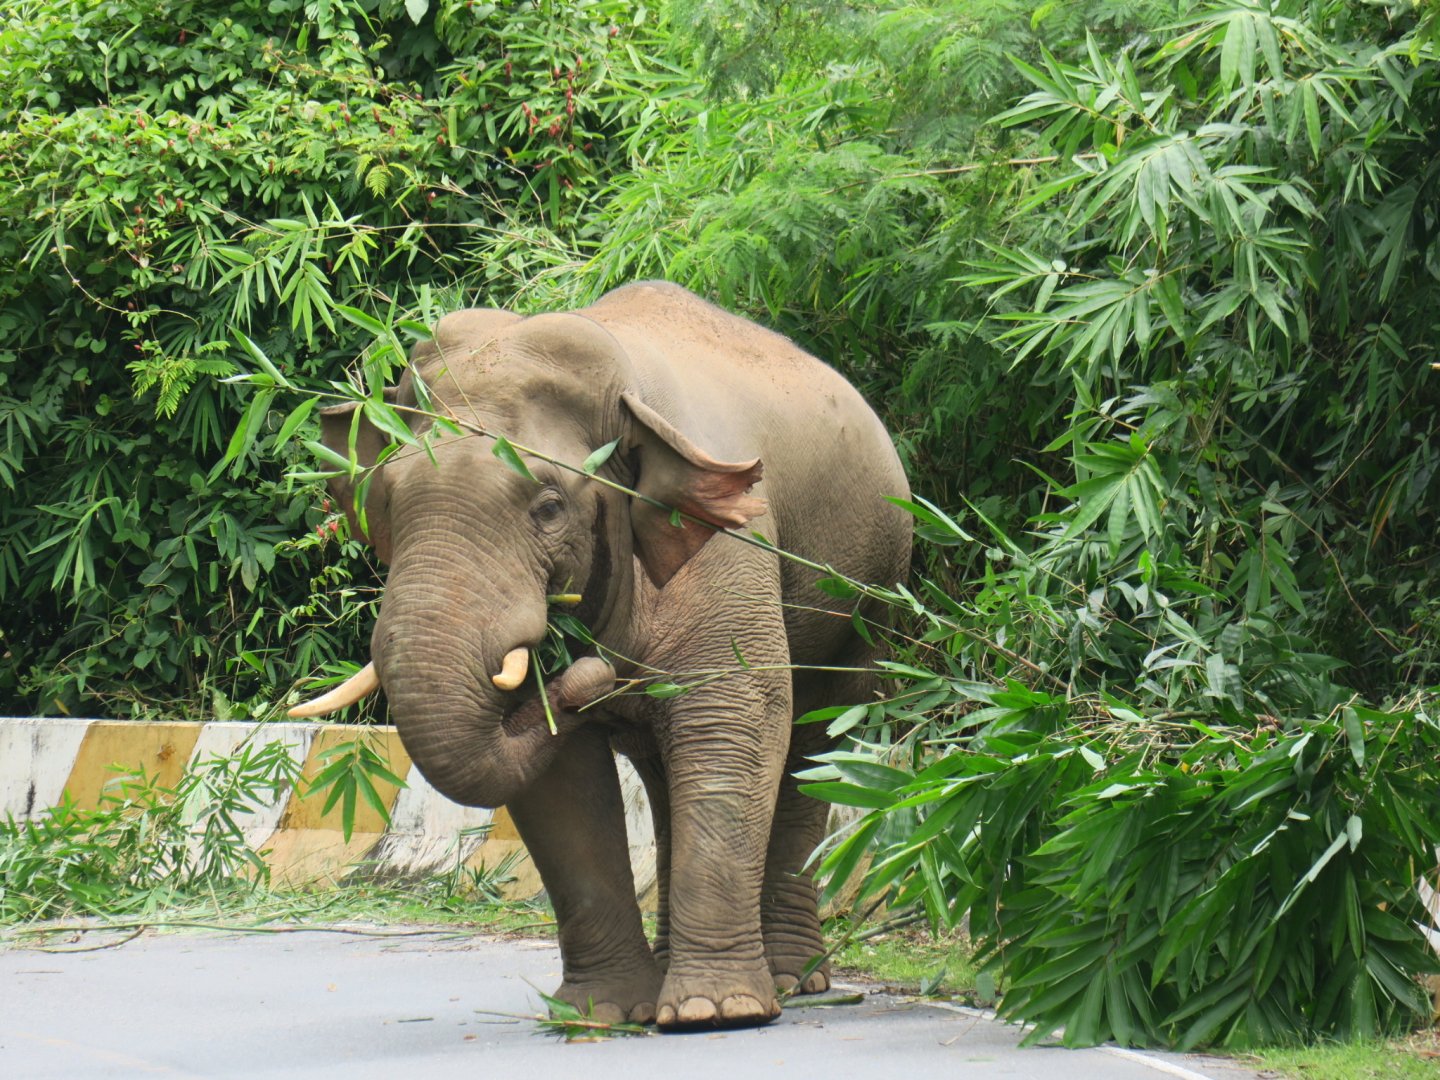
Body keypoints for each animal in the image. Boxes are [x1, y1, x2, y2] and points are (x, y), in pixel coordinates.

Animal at [290, 281, 911, 1029]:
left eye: (549, 506)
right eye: (382, 499)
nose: (584, 670)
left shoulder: (733, 545)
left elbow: (734, 717)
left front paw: (714, 1011)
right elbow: (560, 781)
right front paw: (604, 1013)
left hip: (867, 601)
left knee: (814, 743)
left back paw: (790, 979)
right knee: (664, 770)